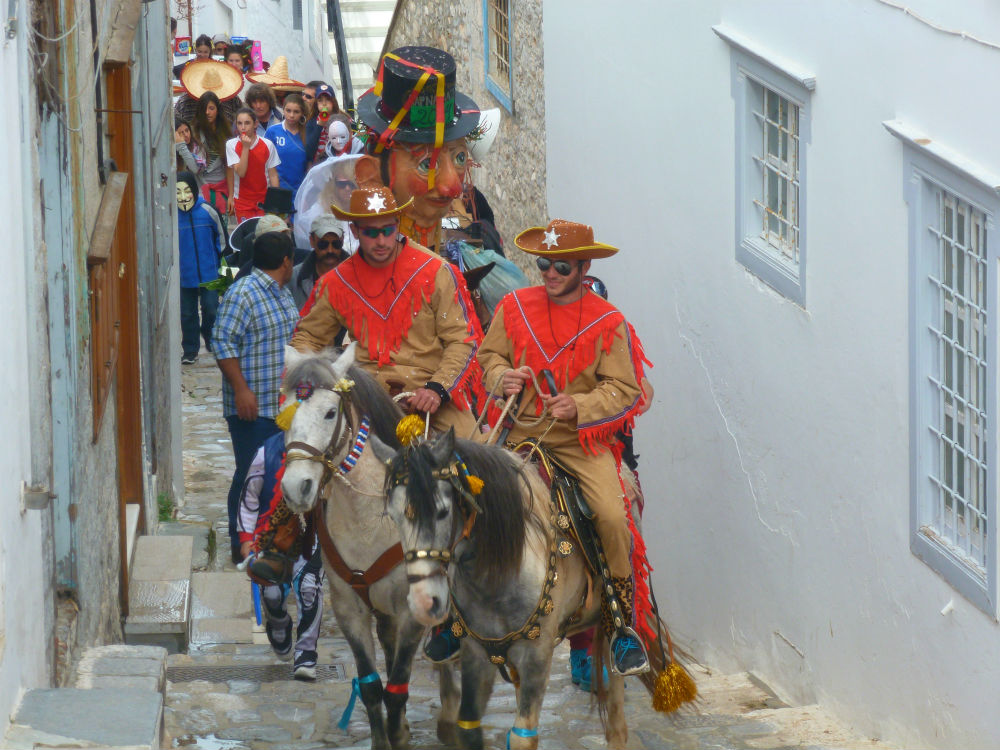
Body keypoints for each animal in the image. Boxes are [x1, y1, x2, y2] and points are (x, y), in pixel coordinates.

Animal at [279, 343, 460, 749]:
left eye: (330, 412)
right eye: (285, 413)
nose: (297, 487)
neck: (370, 519)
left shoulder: (412, 611)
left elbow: (398, 687)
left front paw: (402, 734)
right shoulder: (350, 608)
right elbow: (374, 687)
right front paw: (387, 736)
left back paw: (450, 717)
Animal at [374, 428, 631, 750]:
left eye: (442, 512)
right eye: (393, 516)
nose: (423, 602)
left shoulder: (537, 654)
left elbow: (523, 736)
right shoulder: (476, 653)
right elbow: (468, 728)